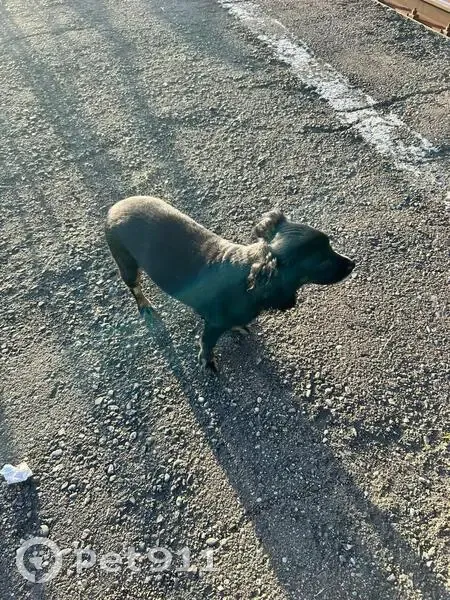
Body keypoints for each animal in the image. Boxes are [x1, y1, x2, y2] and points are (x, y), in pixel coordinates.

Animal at [105, 196, 355, 371]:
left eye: (330, 246)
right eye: (322, 261)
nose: (353, 263)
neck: (249, 280)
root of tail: (114, 207)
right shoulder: (214, 325)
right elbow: (206, 344)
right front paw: (207, 362)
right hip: (127, 264)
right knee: (134, 287)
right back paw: (144, 305)